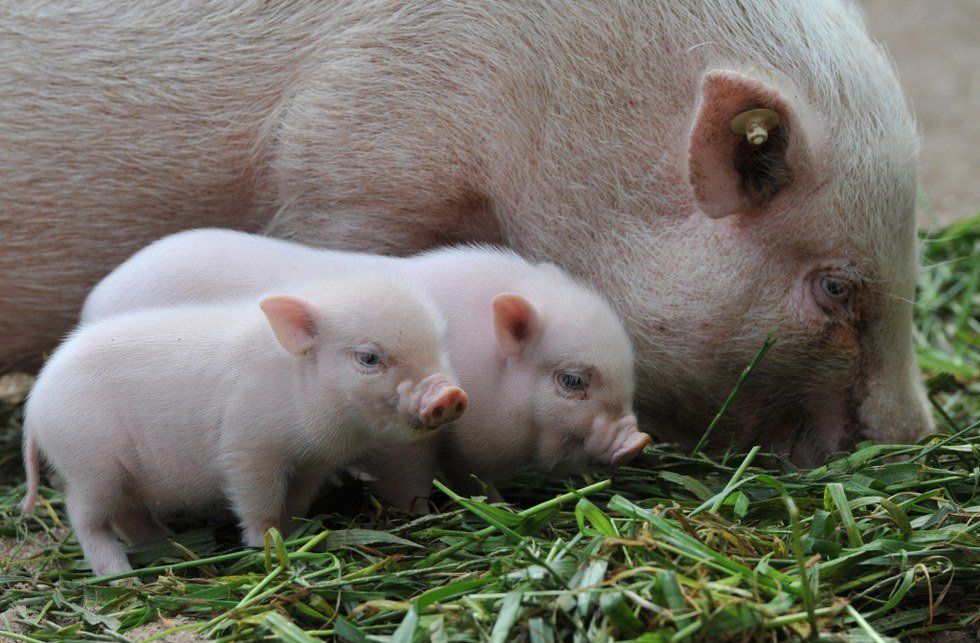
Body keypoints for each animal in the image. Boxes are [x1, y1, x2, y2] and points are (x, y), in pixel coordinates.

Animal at [21, 275, 467, 574]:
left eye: (438, 344)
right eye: (369, 358)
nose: (450, 396)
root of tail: (34, 404)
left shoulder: (312, 463)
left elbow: (298, 501)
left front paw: (295, 533)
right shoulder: (248, 447)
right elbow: (258, 503)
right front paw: (265, 548)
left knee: (129, 515)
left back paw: (168, 543)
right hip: (90, 464)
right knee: (83, 517)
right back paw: (122, 575)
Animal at [82, 229, 649, 512]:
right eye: (573, 380)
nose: (637, 440)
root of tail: (96, 299)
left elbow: (477, 481)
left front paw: (500, 507)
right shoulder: (398, 443)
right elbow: (409, 483)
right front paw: (422, 518)